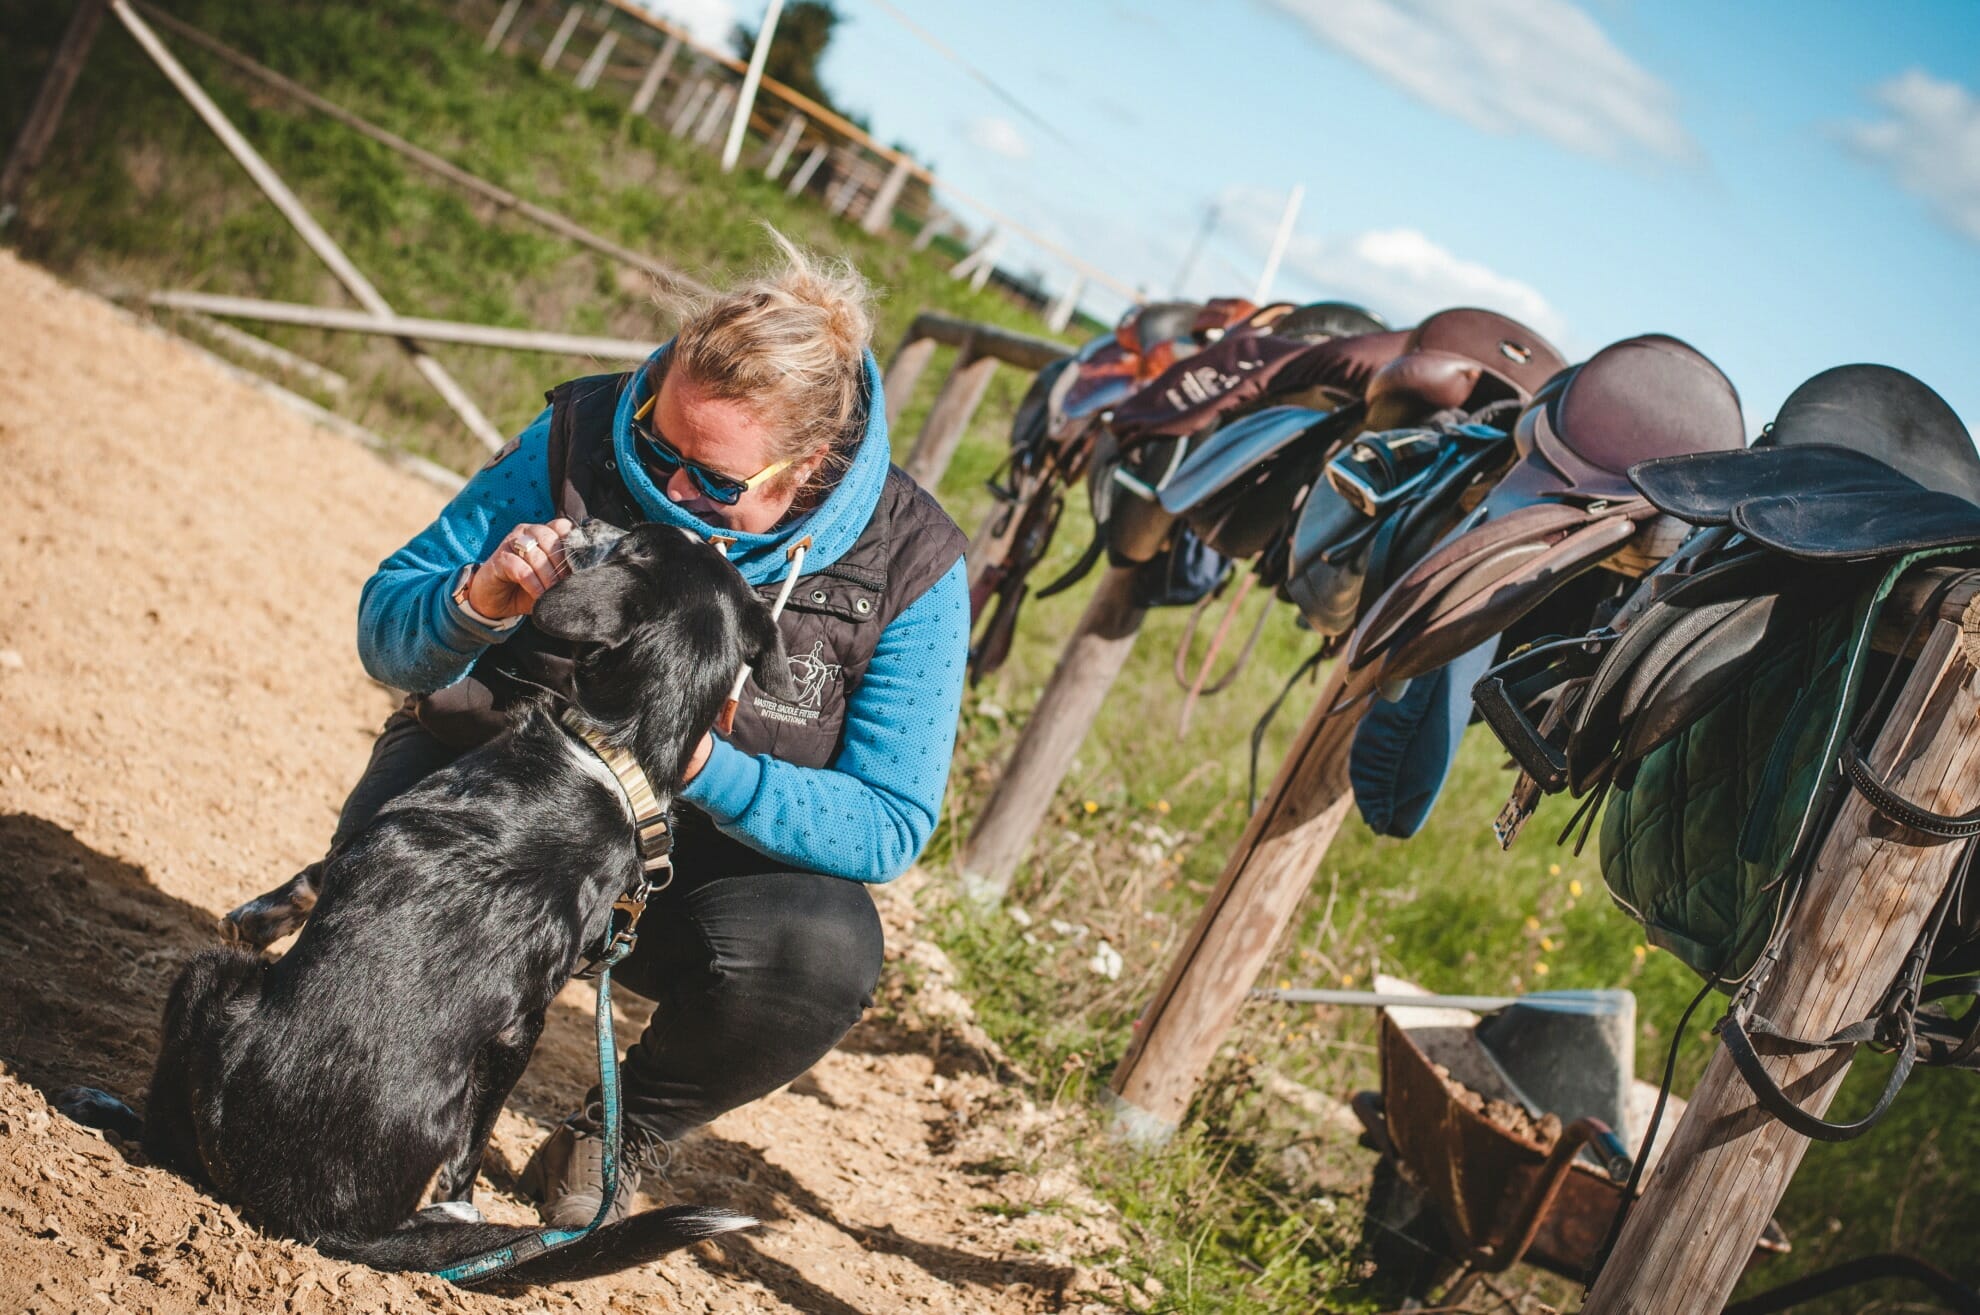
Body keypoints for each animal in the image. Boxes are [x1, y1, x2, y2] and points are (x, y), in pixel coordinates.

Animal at [61, 522, 788, 1283]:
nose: (590, 523)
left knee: (165, 1135)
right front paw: (459, 1203)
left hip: (208, 984)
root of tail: (330, 1225)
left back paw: (104, 1105)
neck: (616, 754)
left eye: (628, 539)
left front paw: (260, 916)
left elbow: (318, 872)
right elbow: (472, 1144)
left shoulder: (379, 839)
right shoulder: (523, 1024)